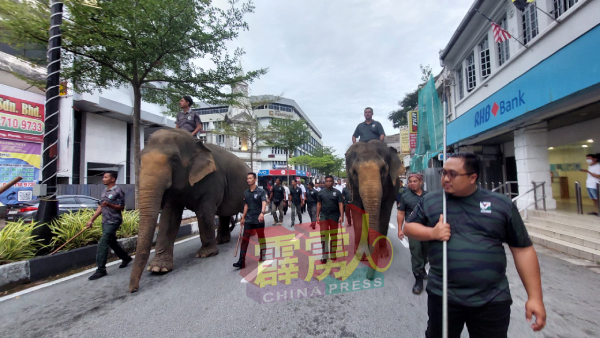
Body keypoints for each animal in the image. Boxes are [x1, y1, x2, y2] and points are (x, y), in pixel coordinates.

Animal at [129, 128, 248, 292]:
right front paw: (157, 269)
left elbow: (204, 212)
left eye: (174, 160)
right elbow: (169, 217)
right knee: (224, 214)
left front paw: (205, 254)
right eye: (140, 159)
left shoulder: (214, 179)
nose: (132, 289)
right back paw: (221, 241)